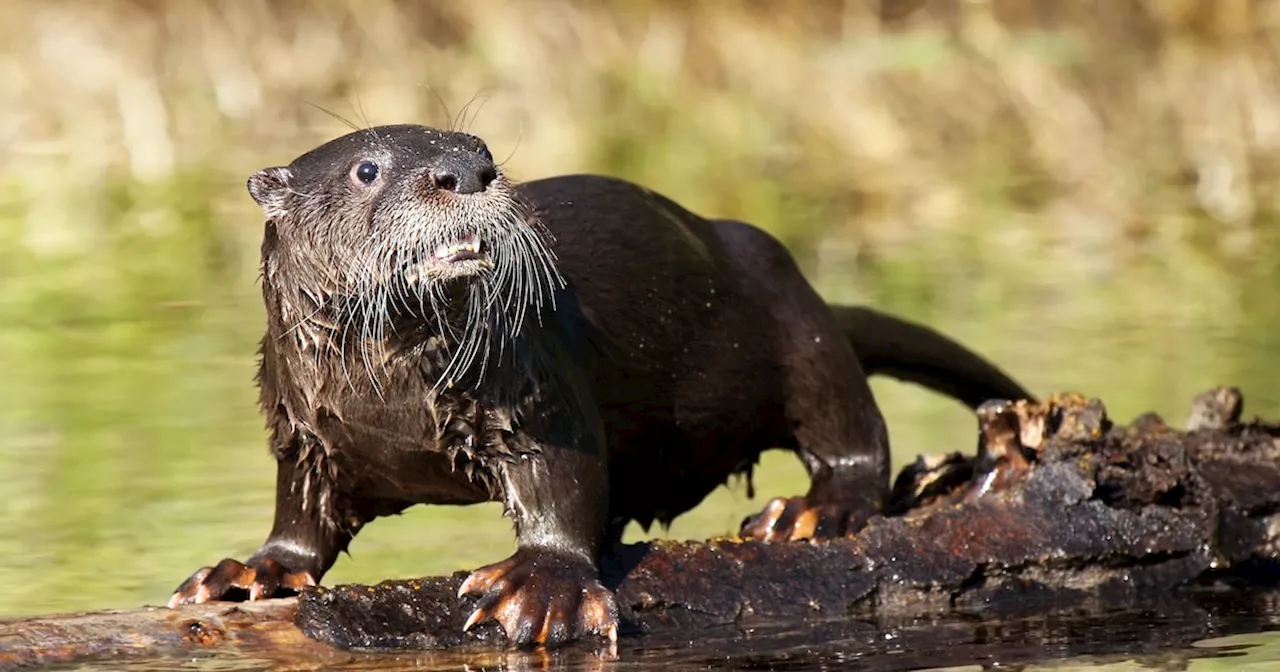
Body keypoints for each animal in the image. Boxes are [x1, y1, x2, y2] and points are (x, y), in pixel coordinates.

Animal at [167, 122, 1029, 647]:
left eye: (479, 147)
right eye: (367, 169)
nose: (466, 170)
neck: (388, 405)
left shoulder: (534, 389)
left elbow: (564, 480)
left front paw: (542, 586)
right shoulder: (301, 428)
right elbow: (301, 512)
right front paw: (250, 571)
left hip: (789, 304)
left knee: (849, 425)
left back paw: (815, 510)